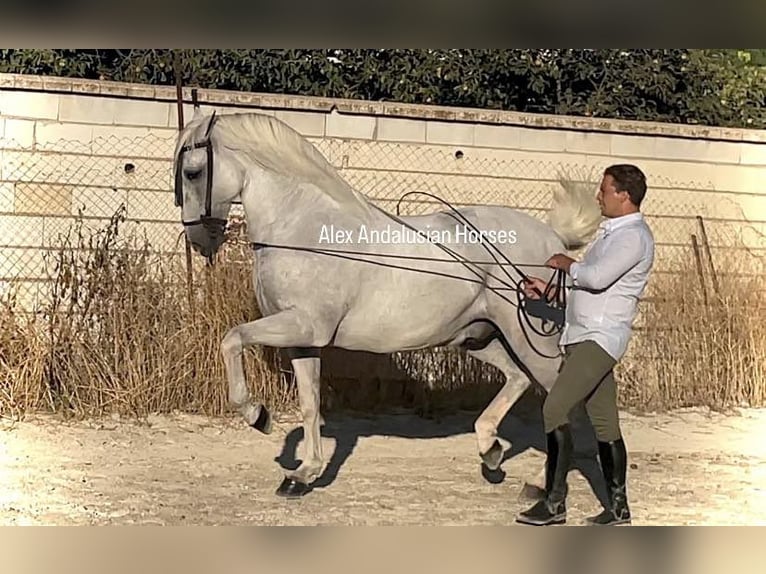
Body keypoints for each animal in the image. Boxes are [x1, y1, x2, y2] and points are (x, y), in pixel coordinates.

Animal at [172, 110, 600, 498]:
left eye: (192, 172)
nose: (199, 240)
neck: (303, 228)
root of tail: (554, 242)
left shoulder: (303, 325)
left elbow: (231, 339)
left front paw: (256, 415)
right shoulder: (303, 340)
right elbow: (310, 404)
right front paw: (302, 475)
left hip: (532, 342)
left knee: (563, 401)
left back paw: (551, 487)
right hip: (477, 337)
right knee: (517, 379)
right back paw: (491, 452)